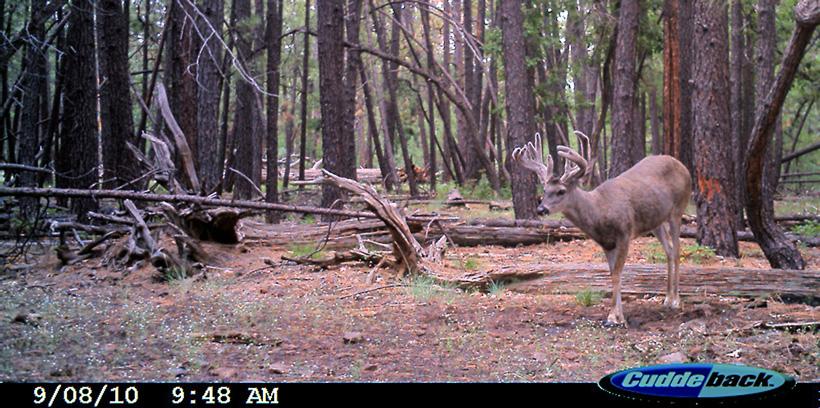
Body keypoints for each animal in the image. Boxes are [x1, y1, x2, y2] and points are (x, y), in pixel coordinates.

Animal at [512, 132, 692, 326]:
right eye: (544, 190)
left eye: (561, 191)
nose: (540, 209)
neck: (599, 211)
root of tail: (684, 167)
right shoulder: (606, 243)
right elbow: (613, 273)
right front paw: (619, 316)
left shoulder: (624, 233)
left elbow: (618, 273)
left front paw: (613, 317)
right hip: (656, 221)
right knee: (669, 251)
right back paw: (666, 299)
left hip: (678, 209)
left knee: (677, 250)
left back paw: (676, 301)